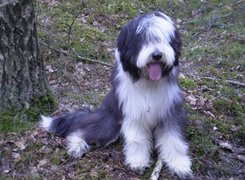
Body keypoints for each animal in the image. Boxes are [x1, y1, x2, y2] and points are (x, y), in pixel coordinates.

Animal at [40, 10, 193, 179]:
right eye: (143, 40)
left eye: (164, 39)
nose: (157, 55)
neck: (148, 82)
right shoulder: (133, 112)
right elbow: (137, 139)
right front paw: (138, 161)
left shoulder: (170, 111)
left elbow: (174, 139)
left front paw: (179, 164)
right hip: (110, 123)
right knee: (84, 129)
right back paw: (76, 144)